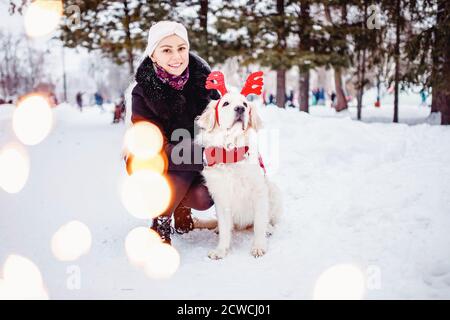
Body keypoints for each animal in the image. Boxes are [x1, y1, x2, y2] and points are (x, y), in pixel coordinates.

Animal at [196, 71, 284, 258]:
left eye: (245, 104)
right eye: (226, 103)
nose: (240, 109)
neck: (231, 152)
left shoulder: (259, 192)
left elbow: (259, 224)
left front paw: (258, 246)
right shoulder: (221, 197)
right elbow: (224, 229)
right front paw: (221, 250)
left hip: (273, 190)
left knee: (267, 220)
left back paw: (269, 228)